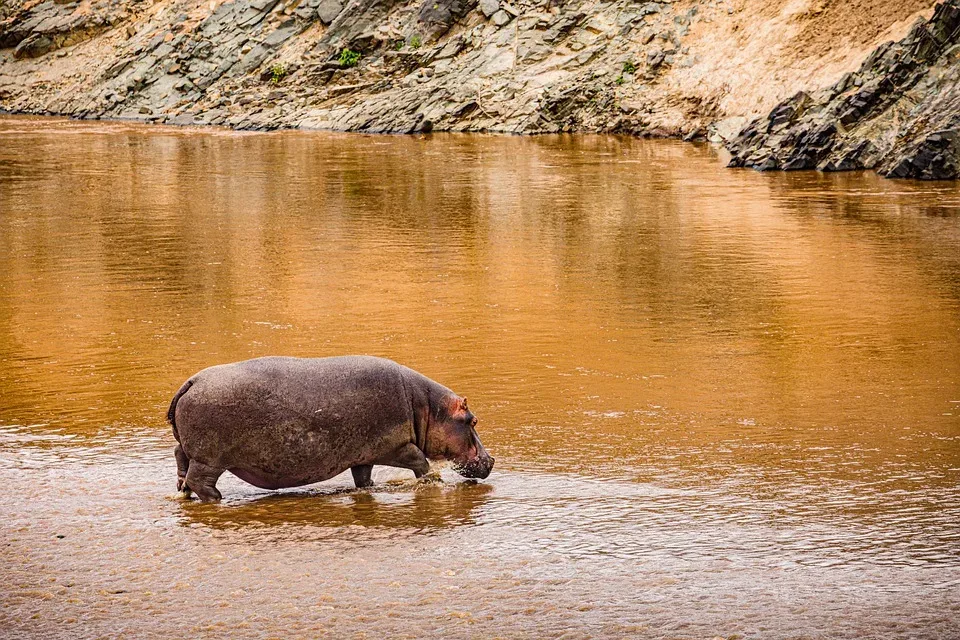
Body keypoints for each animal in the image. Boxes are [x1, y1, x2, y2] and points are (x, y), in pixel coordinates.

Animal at [168, 356, 496, 500]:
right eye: (473, 421)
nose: (491, 460)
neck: (426, 407)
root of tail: (190, 381)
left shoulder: (364, 453)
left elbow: (363, 478)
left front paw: (370, 488)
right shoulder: (396, 446)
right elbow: (420, 460)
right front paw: (432, 481)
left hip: (190, 452)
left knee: (180, 462)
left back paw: (183, 493)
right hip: (210, 458)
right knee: (201, 480)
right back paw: (217, 499)